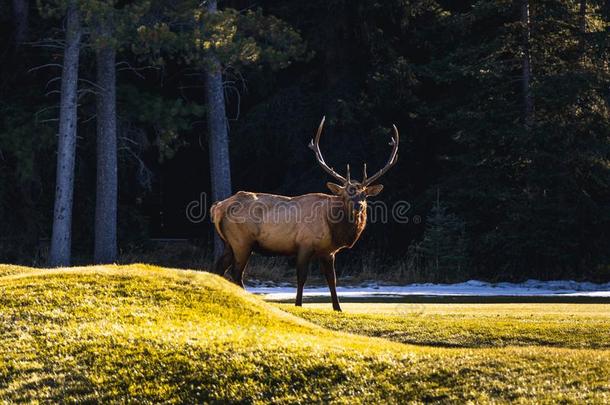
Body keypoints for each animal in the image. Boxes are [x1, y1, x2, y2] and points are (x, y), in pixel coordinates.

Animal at [209, 115, 400, 310]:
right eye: (346, 194)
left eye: (364, 195)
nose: (358, 206)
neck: (334, 228)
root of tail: (217, 207)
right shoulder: (304, 244)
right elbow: (301, 278)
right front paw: (298, 304)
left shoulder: (328, 252)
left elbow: (332, 280)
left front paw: (338, 308)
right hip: (242, 241)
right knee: (236, 272)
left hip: (229, 242)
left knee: (219, 268)